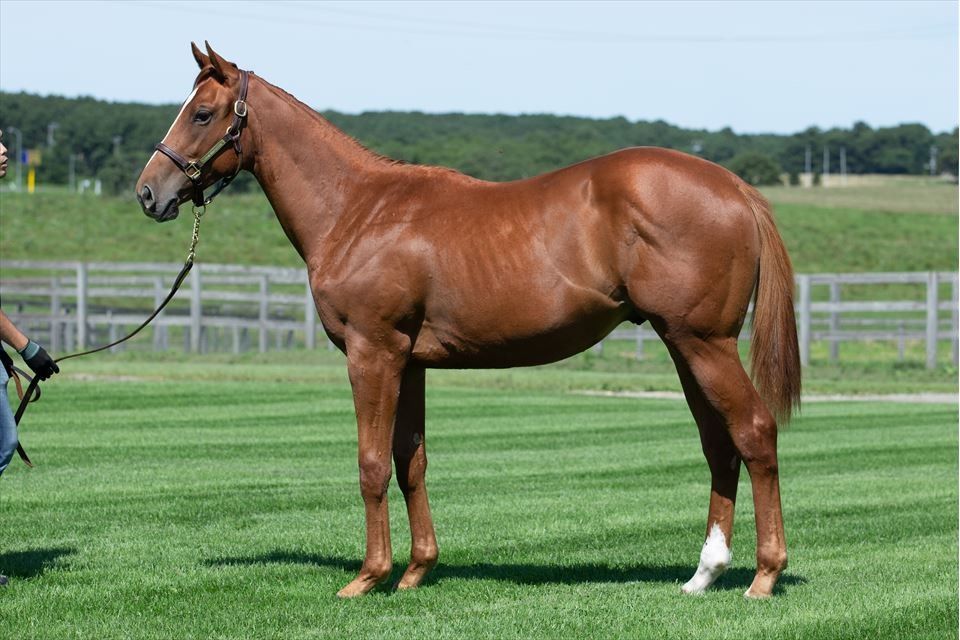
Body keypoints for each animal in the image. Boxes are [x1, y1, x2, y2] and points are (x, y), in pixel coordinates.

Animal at [136, 43, 801, 599]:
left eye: (202, 114)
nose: (148, 192)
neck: (358, 209)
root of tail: (733, 185)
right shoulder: (408, 362)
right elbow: (411, 461)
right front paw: (415, 571)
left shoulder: (372, 352)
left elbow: (372, 464)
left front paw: (368, 578)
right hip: (684, 345)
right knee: (719, 445)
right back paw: (704, 574)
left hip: (705, 343)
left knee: (754, 433)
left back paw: (763, 577)